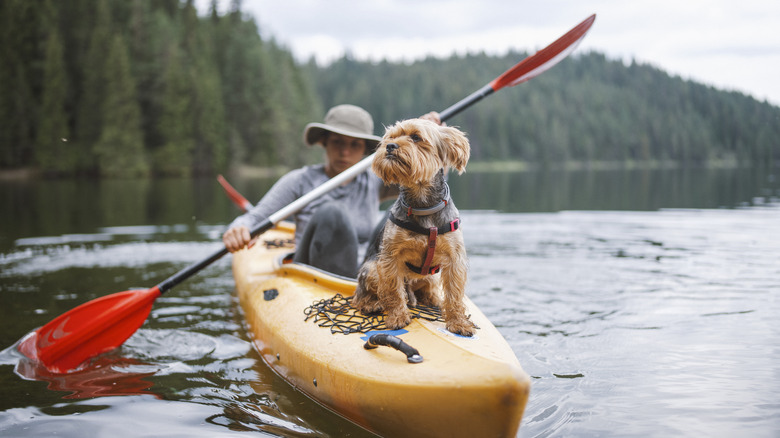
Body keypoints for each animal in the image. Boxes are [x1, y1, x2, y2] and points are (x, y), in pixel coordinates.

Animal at [354, 118, 476, 338]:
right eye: (391, 137)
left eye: (416, 137)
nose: (390, 146)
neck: (423, 204)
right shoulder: (389, 257)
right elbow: (393, 290)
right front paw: (397, 317)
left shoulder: (454, 259)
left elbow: (454, 294)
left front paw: (458, 322)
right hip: (371, 268)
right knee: (362, 295)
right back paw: (371, 304)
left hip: (431, 278)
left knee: (426, 290)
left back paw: (433, 300)